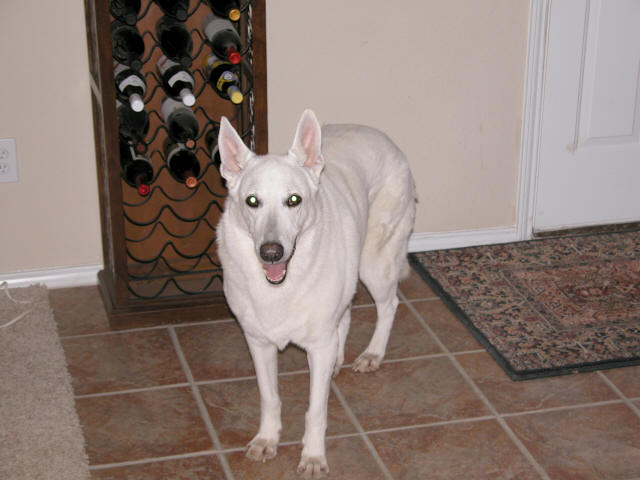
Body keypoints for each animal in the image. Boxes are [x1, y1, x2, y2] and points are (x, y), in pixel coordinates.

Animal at [216, 109, 416, 478]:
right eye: (252, 202)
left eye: (294, 200)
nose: (271, 253)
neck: (281, 286)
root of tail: (384, 138)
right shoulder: (258, 343)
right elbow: (270, 397)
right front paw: (267, 440)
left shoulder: (317, 348)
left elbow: (316, 411)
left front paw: (312, 456)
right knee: (347, 311)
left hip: (373, 262)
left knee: (389, 304)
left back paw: (372, 354)